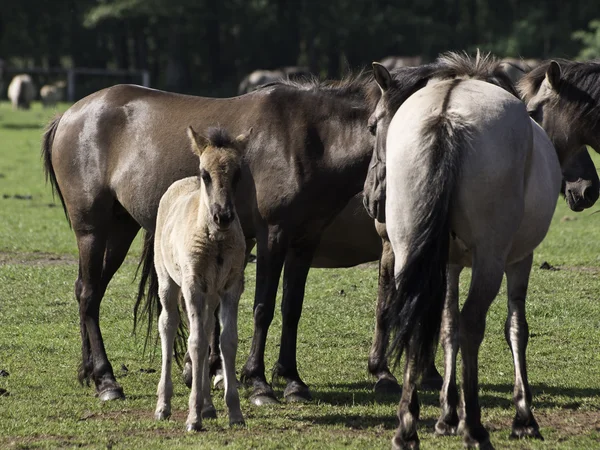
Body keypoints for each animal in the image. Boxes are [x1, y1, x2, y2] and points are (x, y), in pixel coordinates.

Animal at [155, 125, 251, 430]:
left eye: (237, 174)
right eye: (205, 174)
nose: (223, 216)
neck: (216, 240)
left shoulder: (231, 287)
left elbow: (227, 340)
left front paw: (234, 412)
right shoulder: (193, 285)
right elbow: (195, 343)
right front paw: (193, 417)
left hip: (212, 294)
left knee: (208, 327)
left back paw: (208, 406)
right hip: (167, 281)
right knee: (168, 324)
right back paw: (163, 406)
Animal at [364, 54, 596, 450]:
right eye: (370, 127)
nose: (587, 188)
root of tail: (446, 113)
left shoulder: (449, 264)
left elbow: (446, 327)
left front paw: (446, 415)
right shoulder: (518, 260)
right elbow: (514, 327)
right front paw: (523, 417)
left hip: (413, 254)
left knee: (417, 323)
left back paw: (408, 427)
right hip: (490, 260)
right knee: (474, 323)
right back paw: (474, 427)